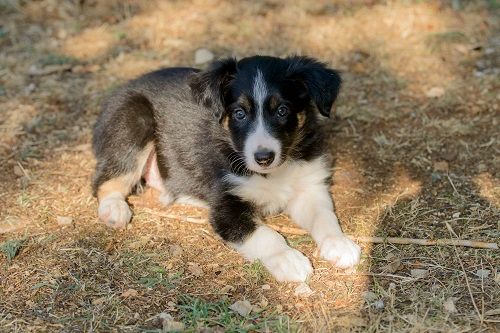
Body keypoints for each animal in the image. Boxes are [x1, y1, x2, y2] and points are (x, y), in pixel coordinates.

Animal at [93, 55, 360, 282]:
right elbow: (265, 235)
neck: (271, 173)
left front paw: (339, 243)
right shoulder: (226, 206)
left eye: (282, 111)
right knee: (105, 181)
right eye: (239, 113)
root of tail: (122, 90)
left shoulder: (309, 187)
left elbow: (324, 216)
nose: (264, 157)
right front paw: (288, 259)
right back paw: (114, 209)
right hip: (134, 121)